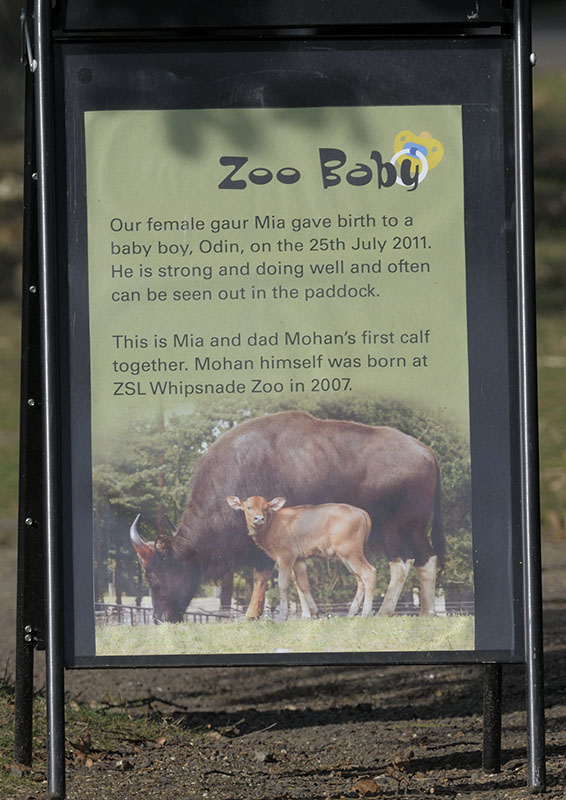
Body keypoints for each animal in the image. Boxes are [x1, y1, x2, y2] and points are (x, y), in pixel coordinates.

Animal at [225, 495, 376, 620]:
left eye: (266, 508)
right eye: (248, 507)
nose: (259, 518)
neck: (273, 524)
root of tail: (361, 512)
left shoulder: (285, 556)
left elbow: (283, 584)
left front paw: (283, 616)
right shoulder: (299, 560)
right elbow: (303, 585)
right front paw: (314, 613)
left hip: (350, 552)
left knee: (369, 573)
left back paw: (365, 613)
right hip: (347, 557)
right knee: (360, 579)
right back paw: (351, 613)